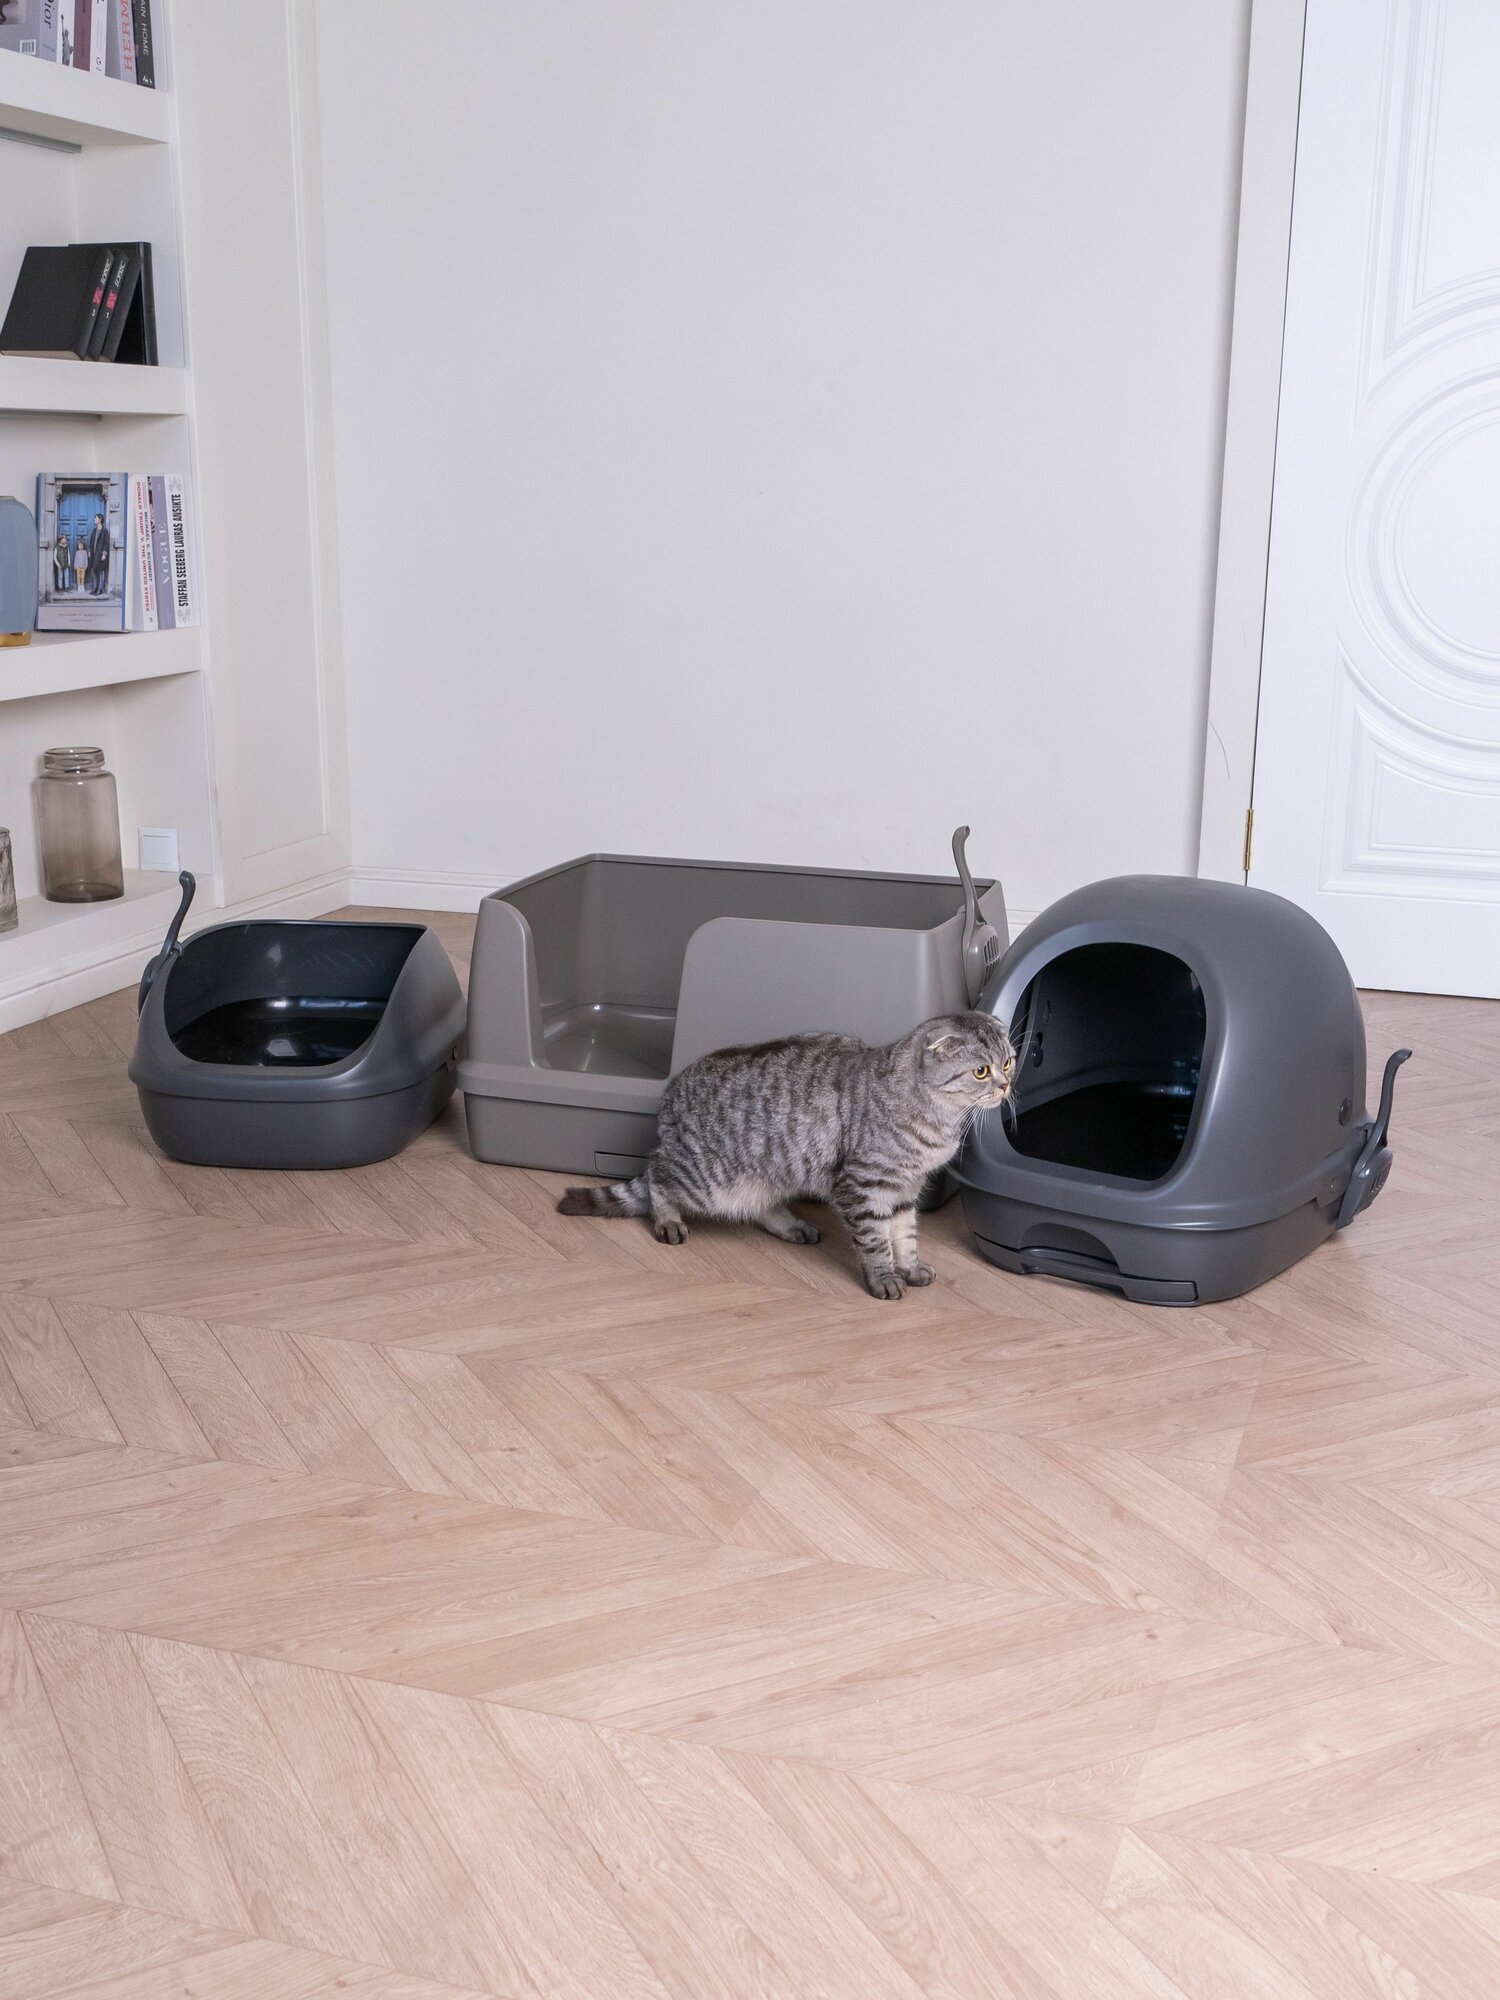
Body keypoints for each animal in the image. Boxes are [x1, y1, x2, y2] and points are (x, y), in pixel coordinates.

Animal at [558, 1011, 1015, 1298]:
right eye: (981, 1071)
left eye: (1009, 1062)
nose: (1007, 1085)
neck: (939, 1120)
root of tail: (668, 1099)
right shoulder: (861, 1185)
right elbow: (875, 1240)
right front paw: (884, 1278)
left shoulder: (905, 1189)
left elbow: (905, 1234)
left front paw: (909, 1267)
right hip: (706, 1179)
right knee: (655, 1171)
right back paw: (667, 1218)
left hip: (772, 1173)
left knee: (757, 1204)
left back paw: (792, 1226)